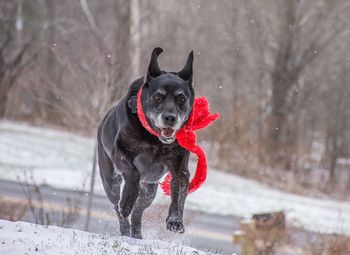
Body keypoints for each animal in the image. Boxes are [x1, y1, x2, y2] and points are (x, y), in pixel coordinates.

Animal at [97, 46, 196, 238]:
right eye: (158, 97)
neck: (155, 140)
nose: (170, 118)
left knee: (138, 211)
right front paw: (127, 201)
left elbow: (178, 196)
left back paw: (136, 234)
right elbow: (133, 173)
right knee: (118, 207)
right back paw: (125, 225)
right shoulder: (121, 154)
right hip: (110, 179)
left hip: (149, 189)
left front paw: (175, 221)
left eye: (181, 99)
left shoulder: (180, 169)